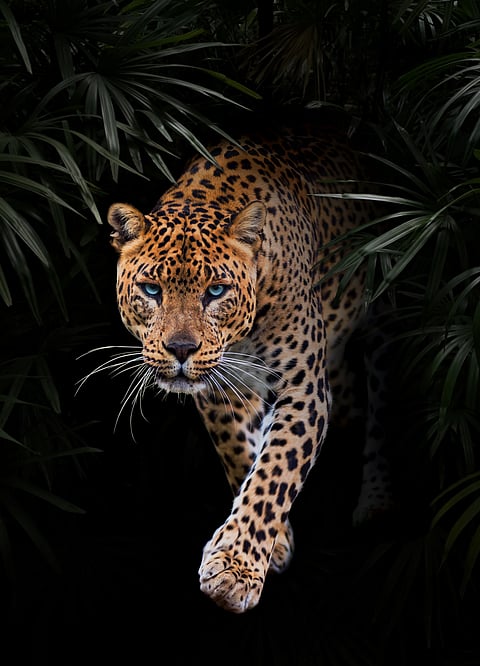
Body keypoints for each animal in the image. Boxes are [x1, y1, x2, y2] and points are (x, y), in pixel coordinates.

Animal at [106, 126, 392, 614]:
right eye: (151, 289)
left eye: (216, 291)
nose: (180, 349)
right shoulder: (220, 389)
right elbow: (241, 454)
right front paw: (274, 545)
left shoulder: (303, 389)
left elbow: (275, 470)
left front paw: (235, 570)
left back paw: (378, 503)